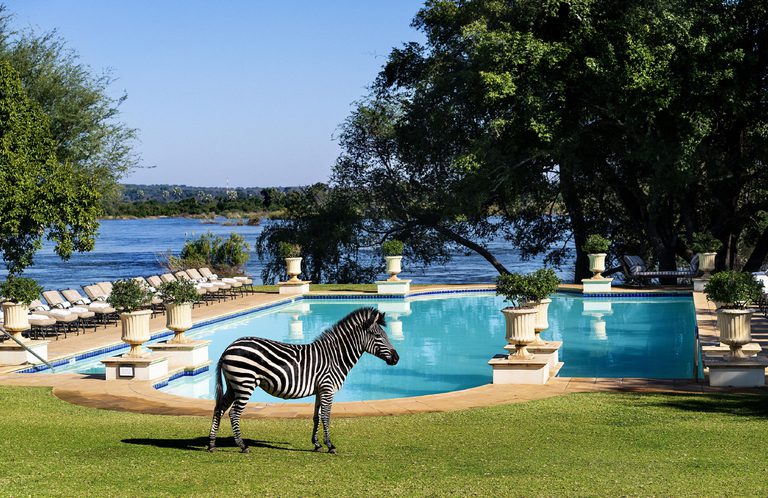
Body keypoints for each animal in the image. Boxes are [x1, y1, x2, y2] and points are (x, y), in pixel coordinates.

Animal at [207, 306, 400, 454]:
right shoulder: (328, 388)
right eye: (378, 336)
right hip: (245, 383)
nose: (397, 358)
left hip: (233, 385)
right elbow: (327, 416)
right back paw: (242, 446)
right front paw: (330, 445)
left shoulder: (320, 389)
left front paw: (317, 444)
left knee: (219, 409)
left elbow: (317, 416)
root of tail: (228, 347)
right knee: (234, 413)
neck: (335, 356)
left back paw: (211, 444)